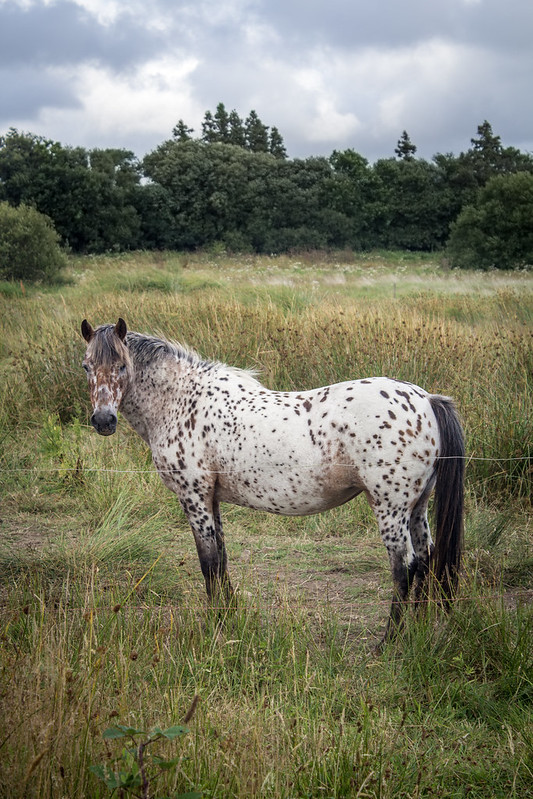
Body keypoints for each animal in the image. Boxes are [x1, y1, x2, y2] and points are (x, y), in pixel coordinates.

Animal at [81, 318, 464, 644]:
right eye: (86, 366)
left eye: (121, 366)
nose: (103, 420)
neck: (182, 402)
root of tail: (426, 400)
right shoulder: (212, 499)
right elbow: (221, 559)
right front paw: (230, 618)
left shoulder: (195, 498)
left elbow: (208, 563)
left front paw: (215, 625)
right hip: (417, 507)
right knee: (426, 559)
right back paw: (419, 629)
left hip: (390, 508)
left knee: (405, 567)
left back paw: (389, 642)